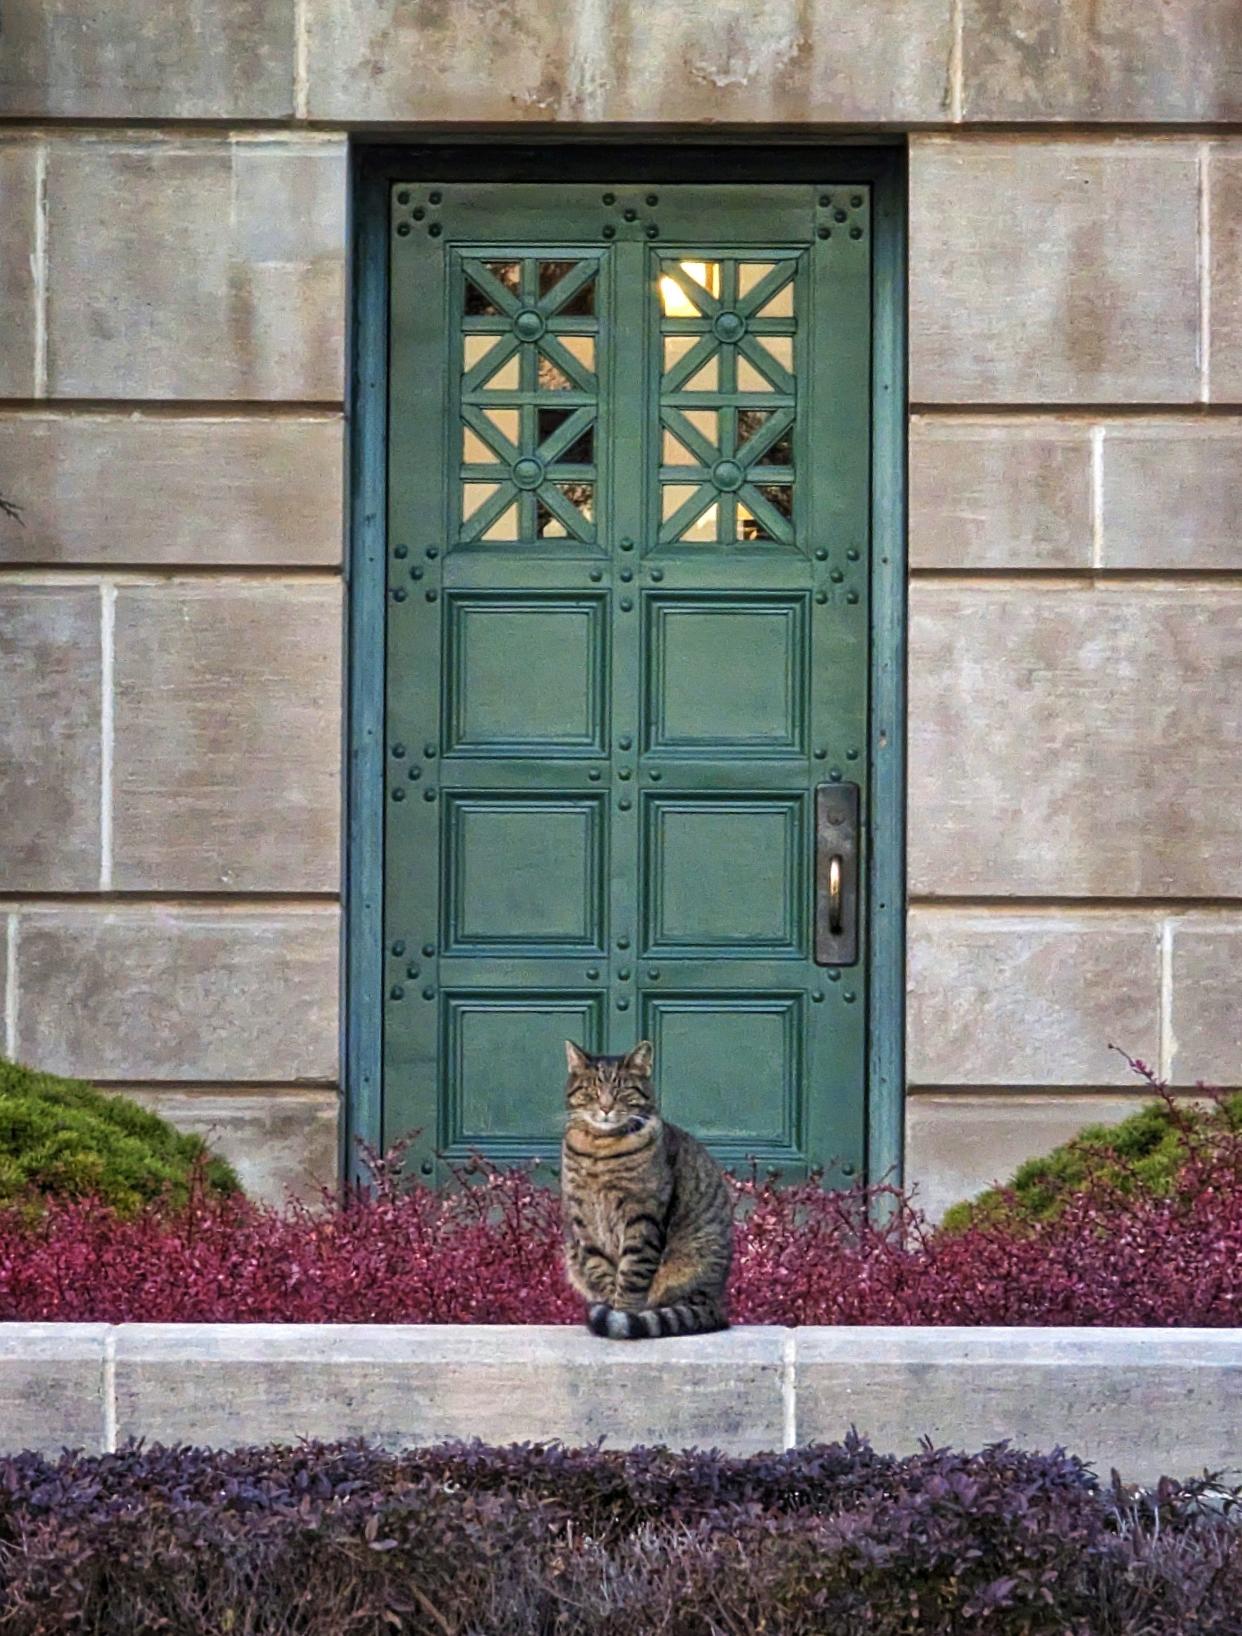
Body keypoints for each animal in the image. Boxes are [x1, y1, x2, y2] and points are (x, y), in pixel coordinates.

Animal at [559, 1040, 729, 1334]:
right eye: (592, 1089)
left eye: (622, 1089)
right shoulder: (583, 1219)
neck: (599, 1148)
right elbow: (600, 1270)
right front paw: (608, 1307)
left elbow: (631, 1274)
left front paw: (621, 1314)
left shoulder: (641, 1214)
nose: (605, 1107)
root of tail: (715, 1302)